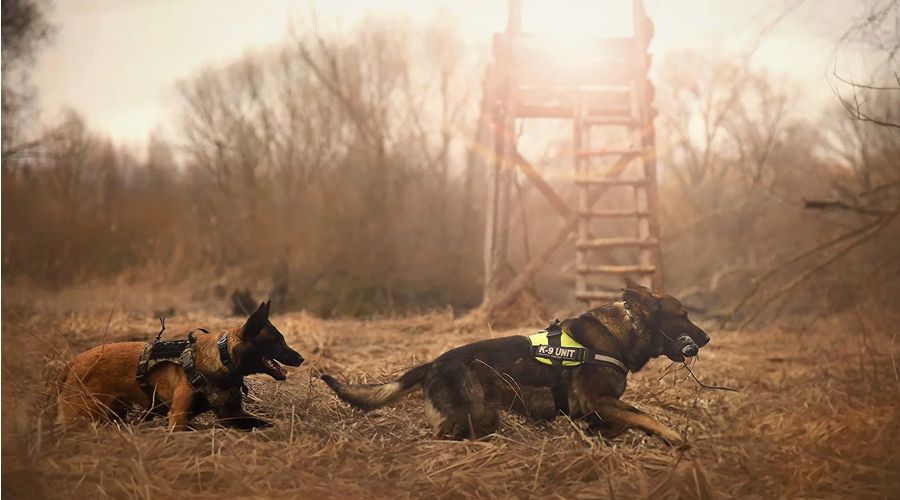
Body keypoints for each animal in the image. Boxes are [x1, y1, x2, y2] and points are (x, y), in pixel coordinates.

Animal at [60, 300, 306, 430]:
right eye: (277, 341)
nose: (301, 358)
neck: (223, 358)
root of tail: (72, 362)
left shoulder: (232, 414)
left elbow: (266, 423)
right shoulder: (178, 417)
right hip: (82, 415)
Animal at [324, 280, 712, 448]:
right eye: (682, 315)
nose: (706, 338)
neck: (625, 332)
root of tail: (433, 363)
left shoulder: (596, 407)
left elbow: (624, 419)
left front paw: (602, 434)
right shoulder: (595, 401)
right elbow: (643, 415)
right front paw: (672, 436)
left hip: (485, 416)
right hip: (470, 416)